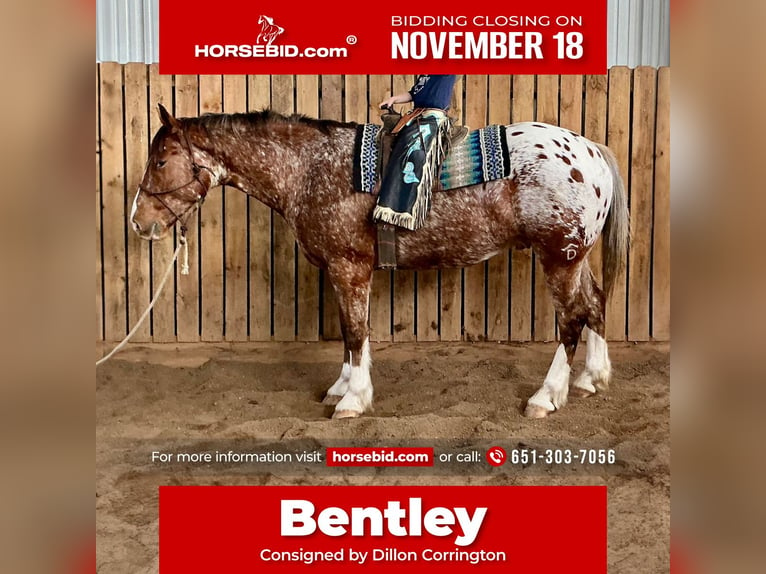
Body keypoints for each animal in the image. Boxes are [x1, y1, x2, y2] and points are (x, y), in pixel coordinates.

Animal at [130, 103, 632, 420]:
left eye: (161, 161)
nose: (138, 221)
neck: (310, 168)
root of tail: (592, 150)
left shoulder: (348, 267)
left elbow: (355, 331)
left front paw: (353, 400)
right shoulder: (344, 272)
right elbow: (350, 331)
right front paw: (342, 387)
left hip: (559, 257)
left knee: (571, 319)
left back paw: (547, 396)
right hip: (577, 257)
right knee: (595, 303)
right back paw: (592, 378)